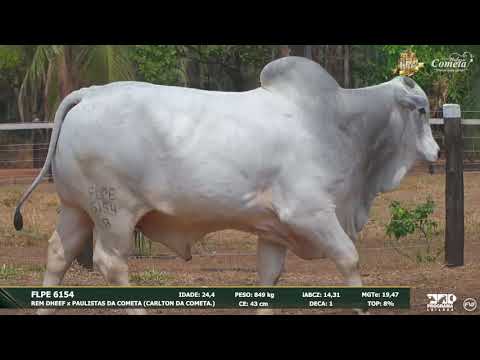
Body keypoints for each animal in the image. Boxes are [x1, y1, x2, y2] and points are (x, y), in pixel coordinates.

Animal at [13, 57, 440, 316]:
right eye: (421, 110)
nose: (436, 151)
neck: (337, 122)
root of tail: (90, 92)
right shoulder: (309, 213)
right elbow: (349, 259)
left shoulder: (274, 229)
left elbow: (269, 277)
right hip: (114, 212)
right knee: (110, 263)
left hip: (77, 210)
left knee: (58, 255)